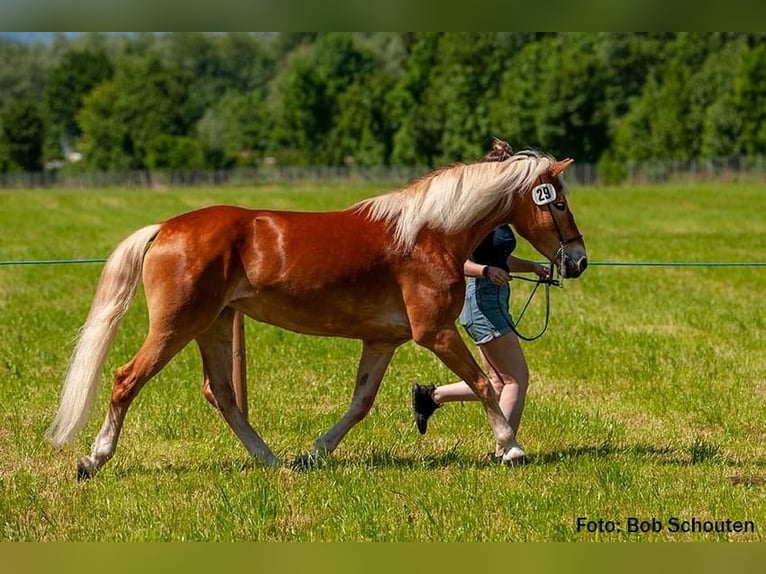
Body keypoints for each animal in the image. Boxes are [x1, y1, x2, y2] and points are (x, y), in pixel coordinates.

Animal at [46, 146, 588, 480]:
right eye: (558, 202)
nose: (577, 261)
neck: (427, 234)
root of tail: (165, 228)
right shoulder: (435, 333)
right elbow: (482, 384)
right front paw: (510, 447)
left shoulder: (382, 341)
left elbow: (360, 403)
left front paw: (315, 452)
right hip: (177, 326)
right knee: (126, 379)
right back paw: (93, 461)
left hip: (215, 324)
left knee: (221, 393)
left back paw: (270, 460)